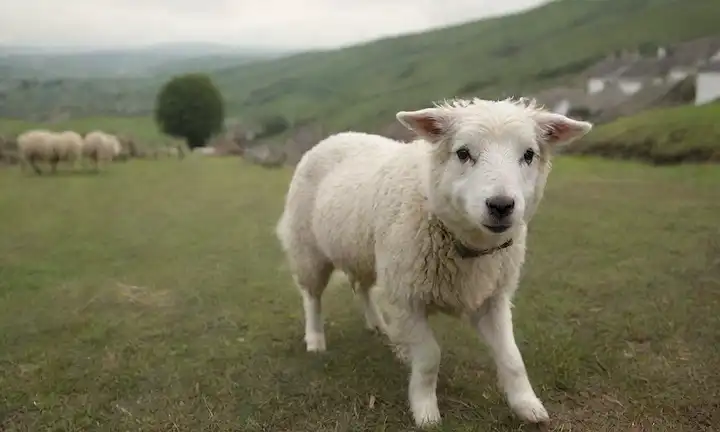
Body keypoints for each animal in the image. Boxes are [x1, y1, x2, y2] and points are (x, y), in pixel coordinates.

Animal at [275, 97, 593, 428]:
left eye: (529, 154)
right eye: (463, 153)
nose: (501, 205)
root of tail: (337, 136)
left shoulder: (491, 298)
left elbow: (512, 357)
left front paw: (527, 405)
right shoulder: (406, 297)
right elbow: (429, 356)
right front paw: (426, 410)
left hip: (365, 253)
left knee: (362, 288)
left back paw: (379, 325)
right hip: (309, 250)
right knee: (312, 297)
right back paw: (315, 339)